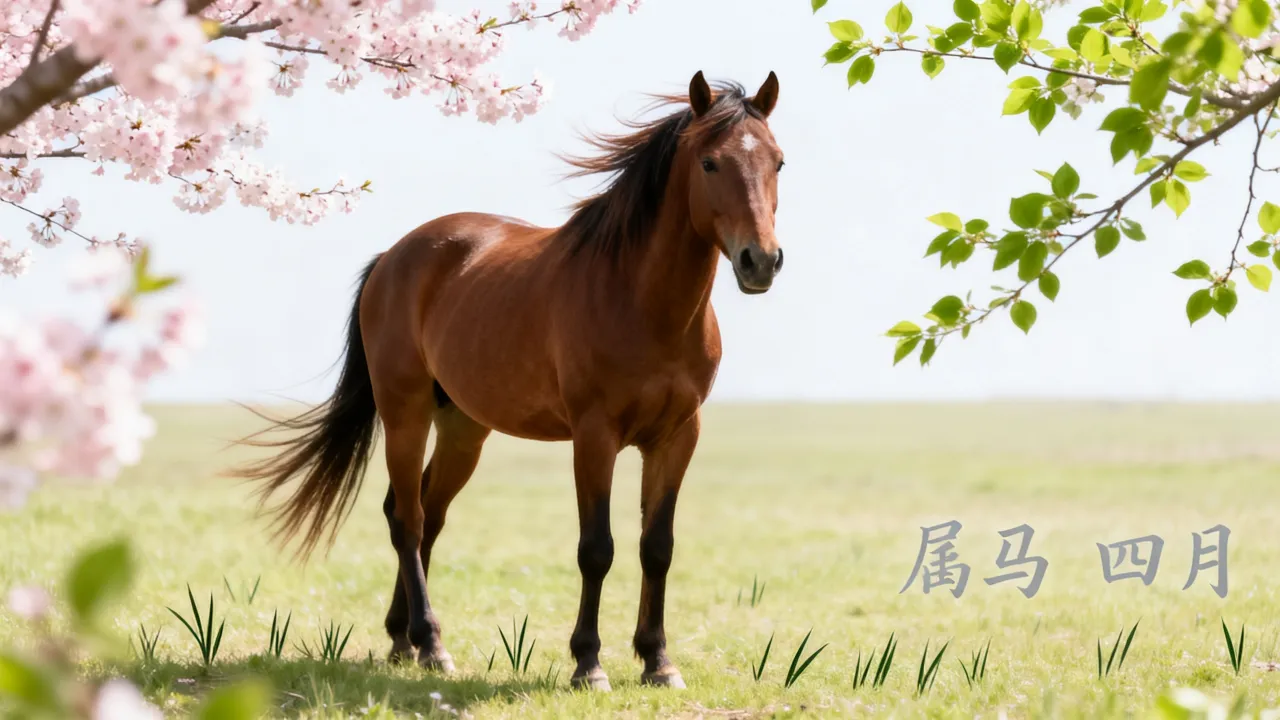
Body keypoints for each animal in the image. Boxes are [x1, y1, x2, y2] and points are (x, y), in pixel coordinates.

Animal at [234, 70, 786, 691]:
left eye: (778, 162)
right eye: (711, 163)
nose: (761, 260)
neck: (642, 302)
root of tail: (393, 258)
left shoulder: (677, 437)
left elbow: (657, 548)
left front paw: (658, 661)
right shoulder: (594, 438)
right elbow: (597, 549)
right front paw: (588, 664)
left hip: (464, 428)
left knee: (425, 515)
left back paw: (404, 640)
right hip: (405, 414)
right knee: (408, 520)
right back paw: (432, 644)